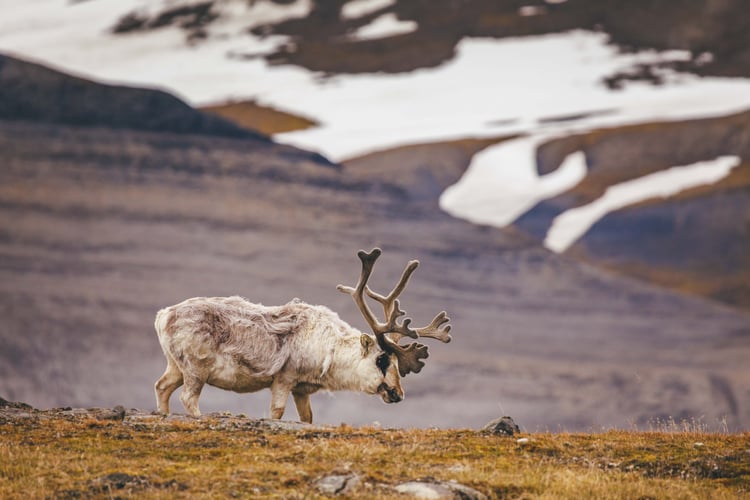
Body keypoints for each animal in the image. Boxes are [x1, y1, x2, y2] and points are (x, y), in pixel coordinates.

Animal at [153, 248, 451, 423]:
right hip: (196, 369)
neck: (330, 351)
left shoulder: (301, 390)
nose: (398, 394)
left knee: (162, 386)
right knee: (187, 397)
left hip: (175, 365)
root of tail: (163, 315)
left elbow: (308, 418)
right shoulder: (284, 379)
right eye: (382, 360)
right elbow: (277, 413)